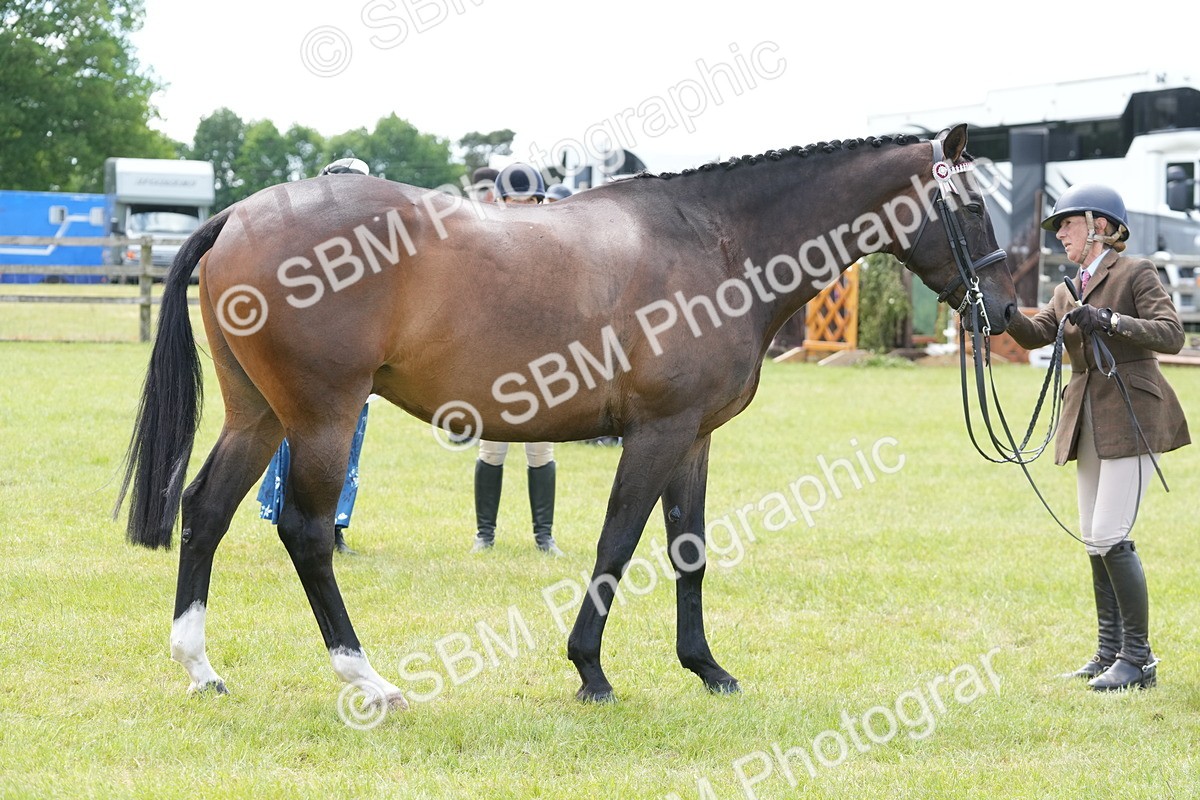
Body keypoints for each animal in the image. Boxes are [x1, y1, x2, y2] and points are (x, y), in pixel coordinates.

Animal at [116, 124, 1017, 710]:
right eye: (974, 208)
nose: (1006, 311)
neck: (716, 243)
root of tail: (240, 214)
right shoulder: (655, 434)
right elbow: (617, 544)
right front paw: (590, 671)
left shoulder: (693, 437)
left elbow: (688, 551)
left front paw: (706, 668)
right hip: (324, 419)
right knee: (304, 533)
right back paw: (367, 677)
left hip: (260, 416)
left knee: (204, 511)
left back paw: (200, 667)